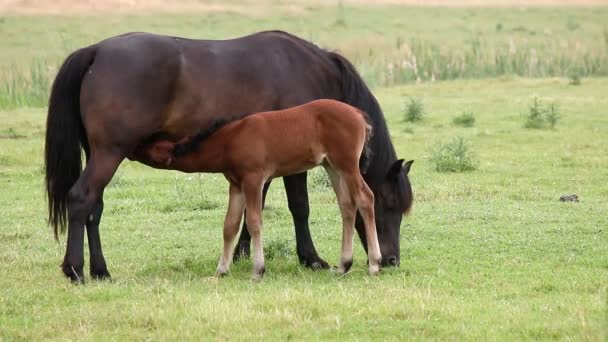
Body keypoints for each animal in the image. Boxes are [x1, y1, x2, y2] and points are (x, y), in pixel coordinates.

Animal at [140, 99, 382, 280]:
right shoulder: (236, 186)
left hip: (347, 164)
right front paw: (221, 270)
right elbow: (229, 225)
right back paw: (343, 265)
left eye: (151, 148)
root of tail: (358, 114)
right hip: (332, 166)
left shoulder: (253, 180)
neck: (231, 139)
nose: (137, 143)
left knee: (365, 198)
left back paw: (374, 264)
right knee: (347, 205)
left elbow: (254, 221)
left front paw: (257, 270)